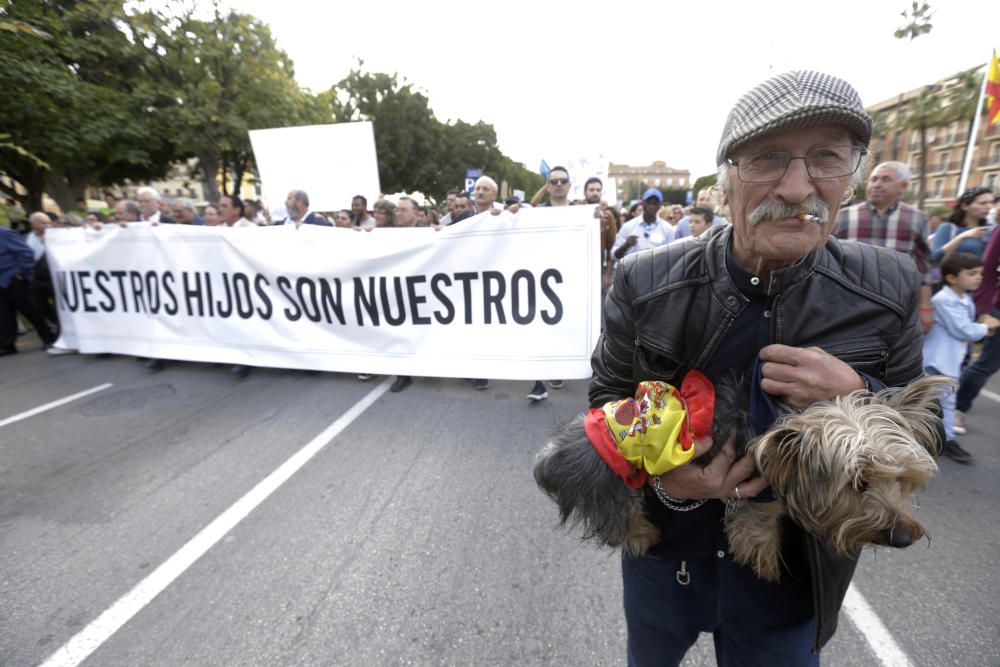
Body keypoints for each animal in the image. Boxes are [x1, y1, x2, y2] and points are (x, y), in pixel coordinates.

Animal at [536, 374, 948, 580]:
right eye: (858, 484)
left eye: (903, 479)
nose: (903, 537)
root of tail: (554, 451)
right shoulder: (759, 494)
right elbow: (758, 530)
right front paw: (767, 565)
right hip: (612, 483)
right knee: (618, 521)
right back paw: (642, 534)